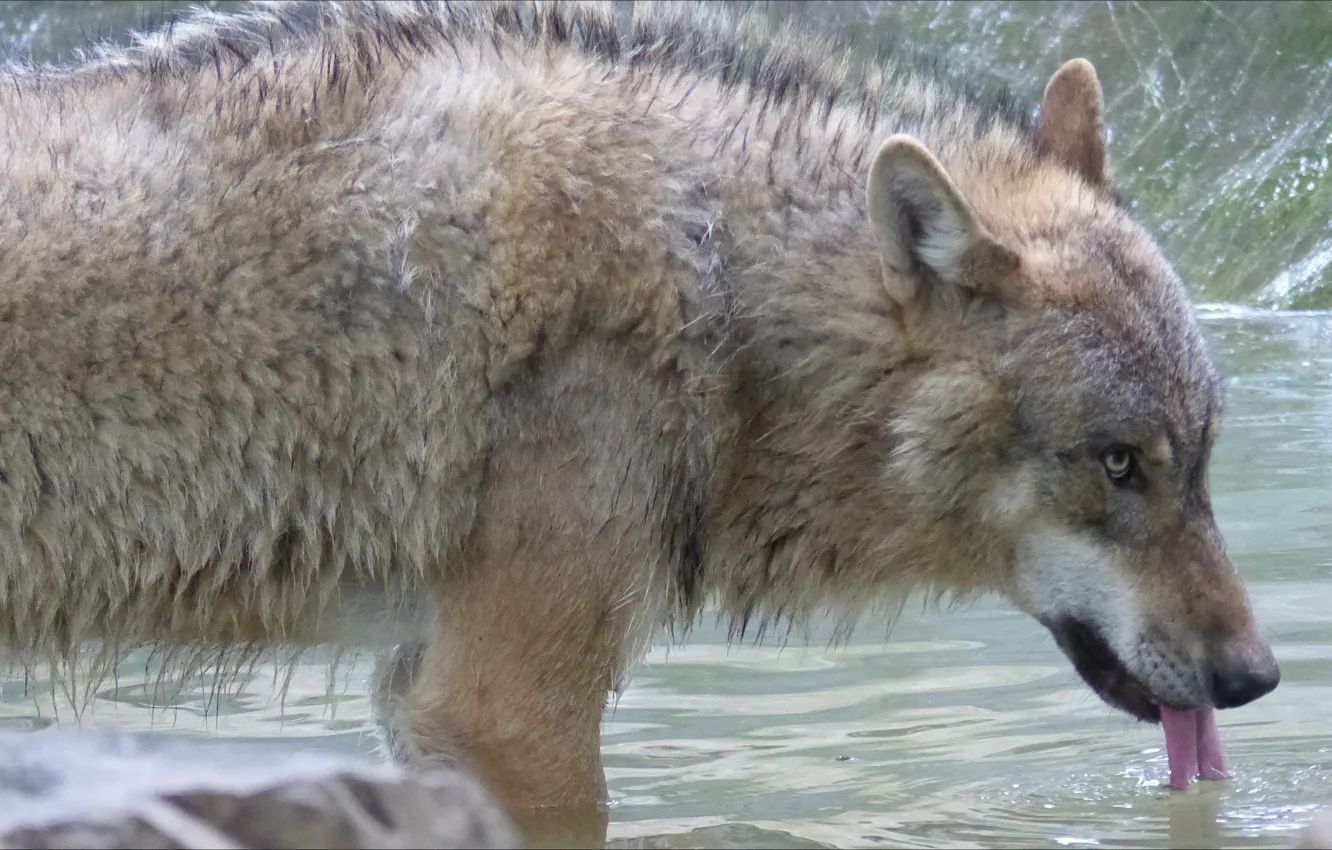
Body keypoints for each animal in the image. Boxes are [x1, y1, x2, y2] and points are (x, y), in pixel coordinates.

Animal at [0, 0, 1279, 844]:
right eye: (1117, 463)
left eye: (1200, 462)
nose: (1261, 678)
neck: (718, 278)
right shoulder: (503, 710)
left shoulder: (421, 688)